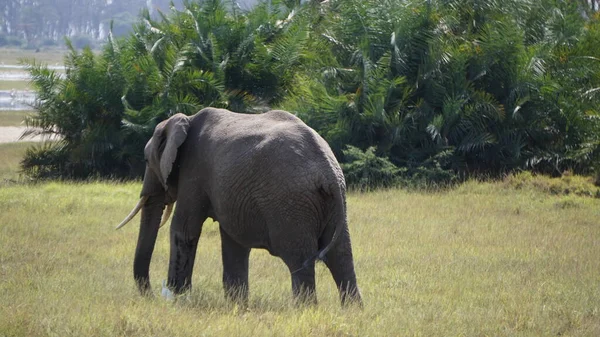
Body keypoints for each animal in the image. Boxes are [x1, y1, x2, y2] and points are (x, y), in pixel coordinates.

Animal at [116, 107, 360, 304]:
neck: (185, 119)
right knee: (341, 257)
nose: (153, 295)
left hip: (291, 205)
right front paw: (238, 305)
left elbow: (184, 229)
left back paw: (304, 309)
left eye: (146, 161)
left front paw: (177, 298)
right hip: (332, 204)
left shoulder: (194, 170)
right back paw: (352, 311)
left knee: (299, 259)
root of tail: (328, 171)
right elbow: (233, 241)